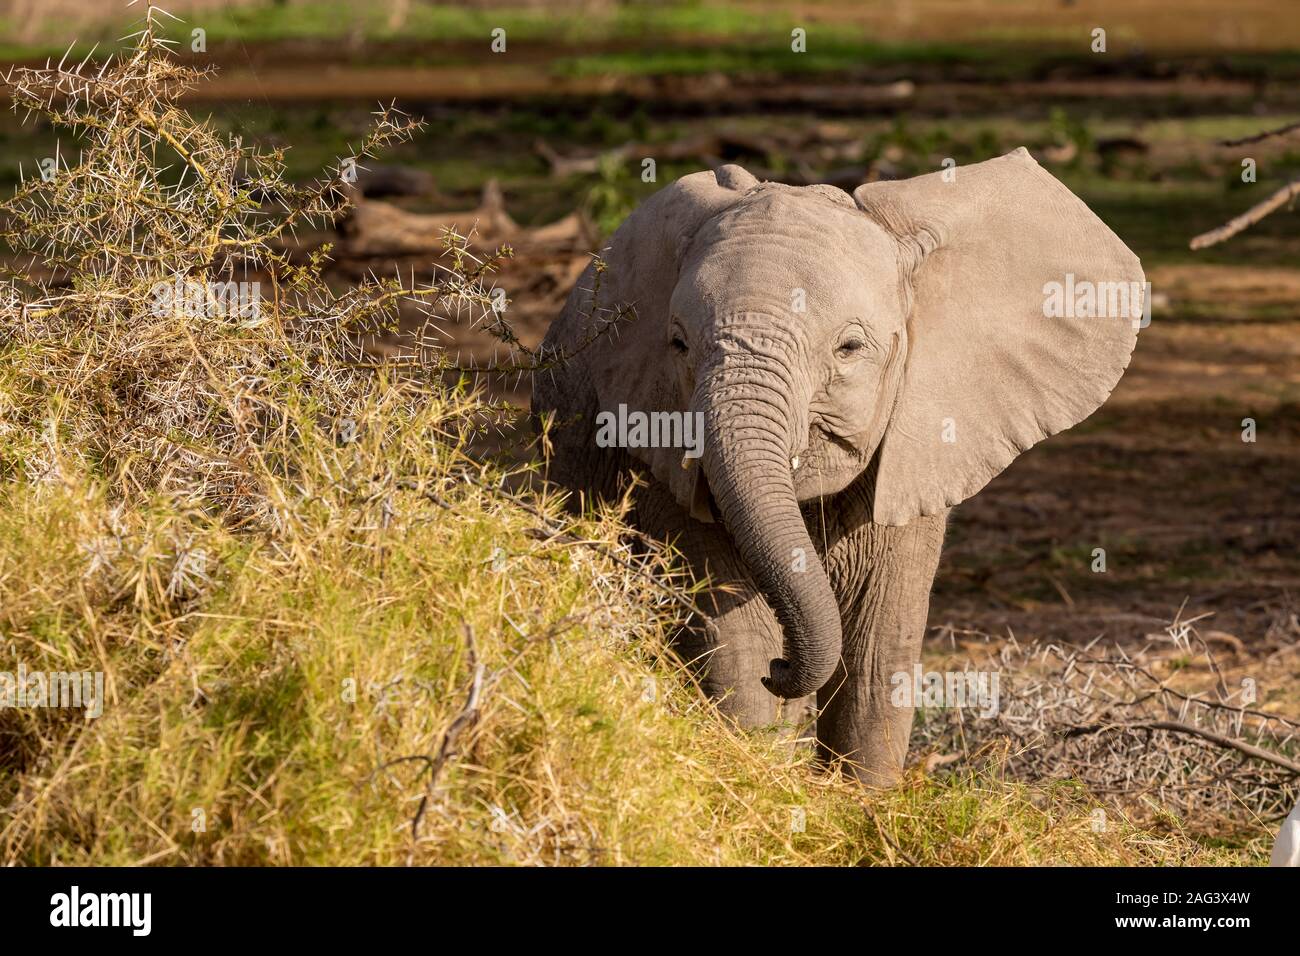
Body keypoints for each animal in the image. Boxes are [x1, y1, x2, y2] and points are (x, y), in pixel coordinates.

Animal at [533, 149, 1144, 785]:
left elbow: (878, 651)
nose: (783, 668)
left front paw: (862, 800)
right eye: (677, 345)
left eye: (849, 349)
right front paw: (766, 773)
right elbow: (737, 637)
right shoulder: (657, 449)